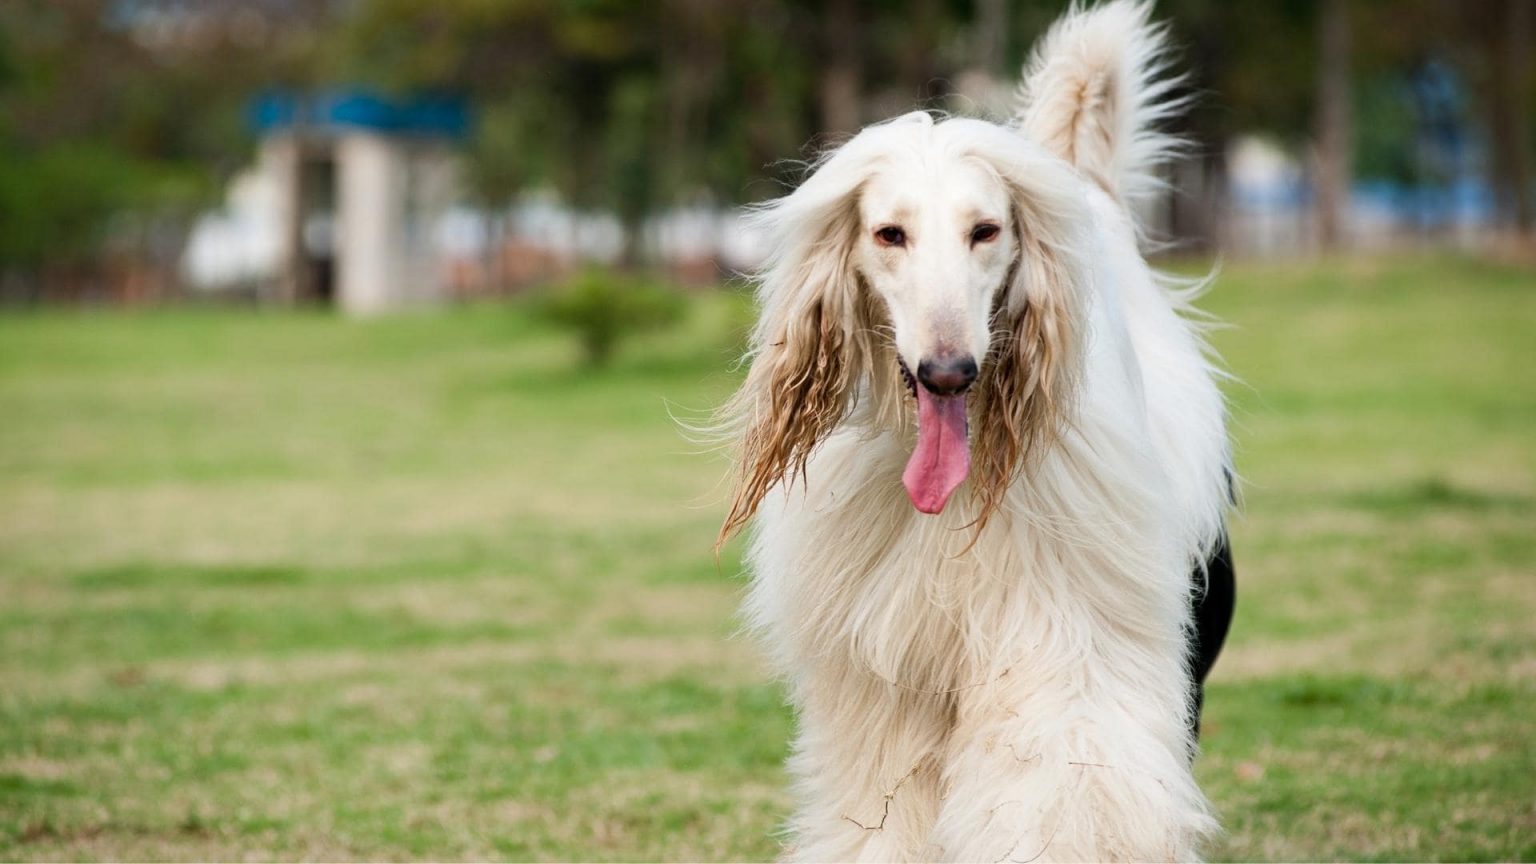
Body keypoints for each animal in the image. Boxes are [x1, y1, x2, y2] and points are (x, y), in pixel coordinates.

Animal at [715, 3, 1234, 854]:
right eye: (889, 234)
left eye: (985, 230)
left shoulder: (1063, 636)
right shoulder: (887, 676)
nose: (948, 372)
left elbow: (1061, 782)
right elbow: (884, 807)